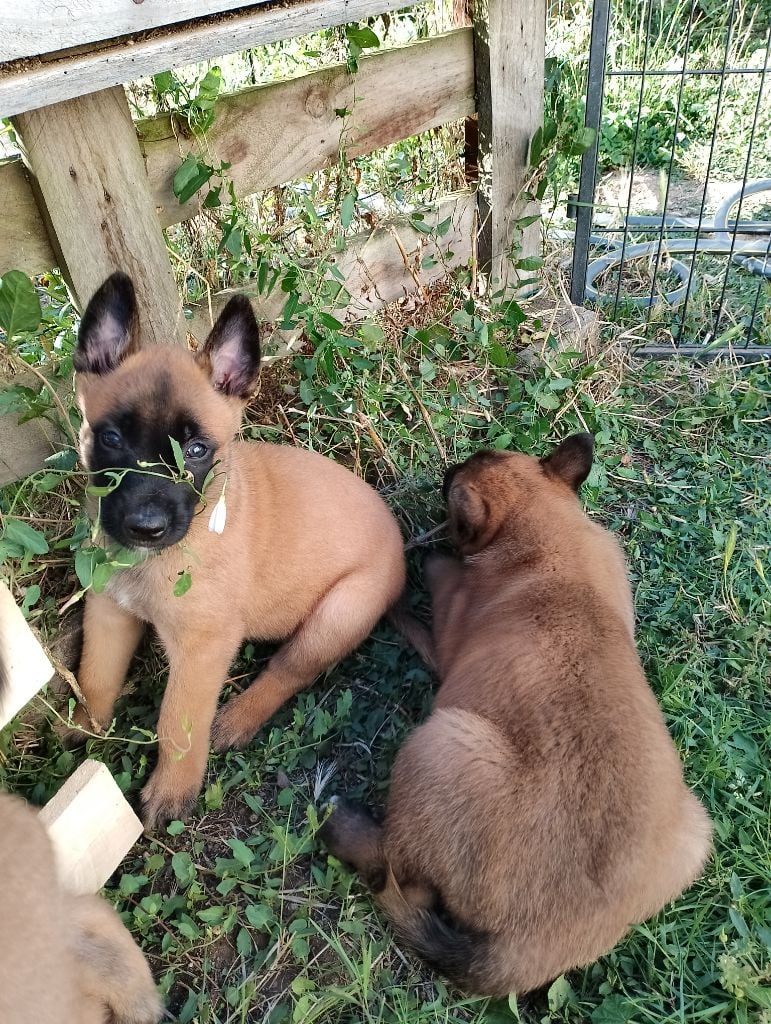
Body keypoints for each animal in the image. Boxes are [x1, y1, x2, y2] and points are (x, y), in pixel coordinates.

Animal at [69, 274, 405, 831]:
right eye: (111, 437)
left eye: (197, 451)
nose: (145, 527)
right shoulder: (109, 610)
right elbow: (94, 676)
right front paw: (82, 726)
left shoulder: (203, 646)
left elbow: (178, 722)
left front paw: (172, 789)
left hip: (338, 614)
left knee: (288, 671)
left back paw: (236, 719)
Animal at [319, 436, 708, 995]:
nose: (447, 470)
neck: (549, 540)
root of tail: (537, 944)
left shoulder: (447, 636)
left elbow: (438, 576)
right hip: (699, 829)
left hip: (441, 741)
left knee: (403, 881)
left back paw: (341, 823)